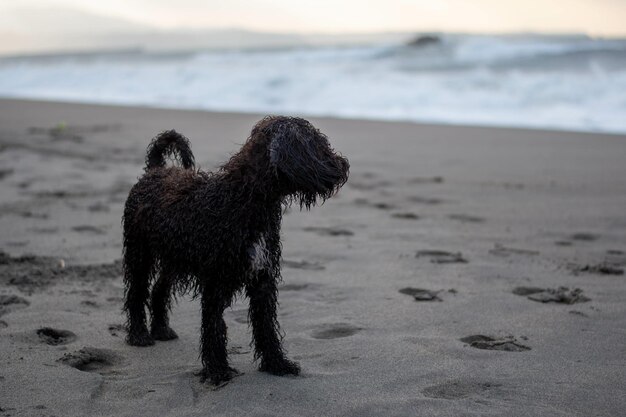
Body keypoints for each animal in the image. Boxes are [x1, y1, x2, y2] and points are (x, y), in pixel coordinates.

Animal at [122, 115, 346, 386]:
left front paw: (277, 363)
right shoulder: (216, 282)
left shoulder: (263, 278)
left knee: (159, 290)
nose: (344, 165)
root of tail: (155, 170)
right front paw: (217, 370)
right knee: (137, 292)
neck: (246, 200)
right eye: (317, 144)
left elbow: (266, 325)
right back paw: (139, 335)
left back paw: (162, 330)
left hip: (173, 258)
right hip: (139, 252)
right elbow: (214, 326)